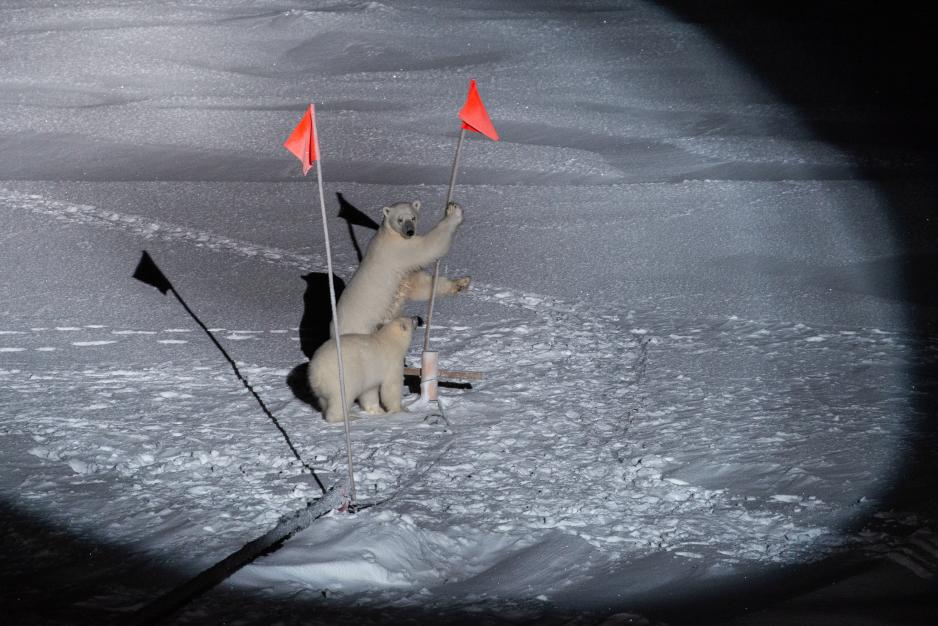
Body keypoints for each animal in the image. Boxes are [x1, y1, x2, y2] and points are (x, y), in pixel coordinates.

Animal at [334, 200, 472, 336]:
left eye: (413, 217)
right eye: (400, 219)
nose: (410, 231)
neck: (389, 233)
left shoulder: (406, 273)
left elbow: (421, 286)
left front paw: (461, 282)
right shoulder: (399, 249)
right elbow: (428, 246)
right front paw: (454, 211)